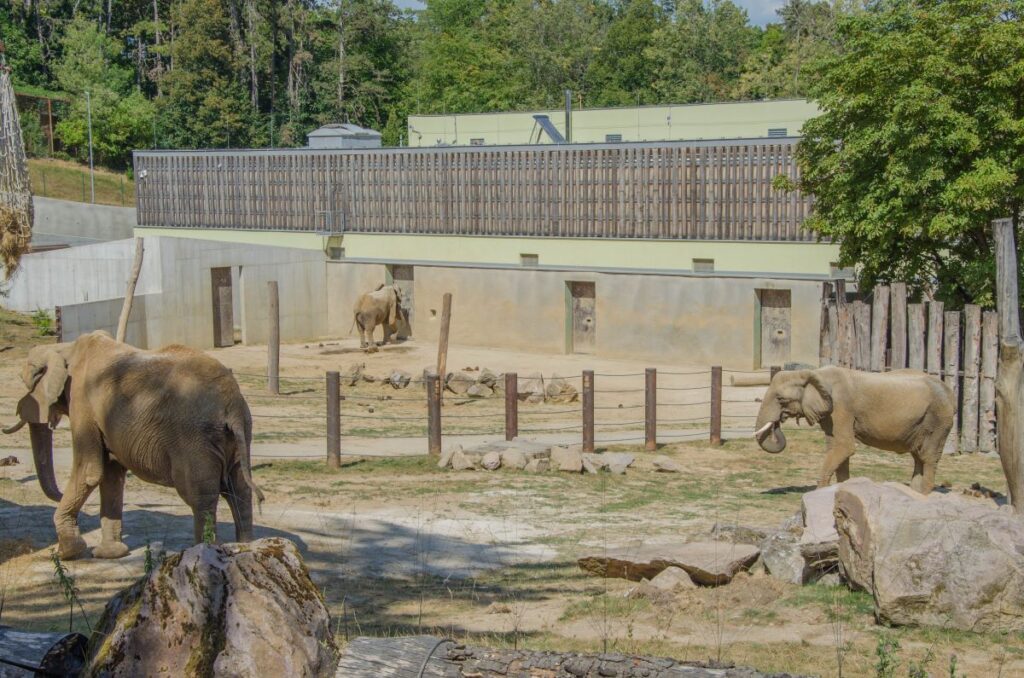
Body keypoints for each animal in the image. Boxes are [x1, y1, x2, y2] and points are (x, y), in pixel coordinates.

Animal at [2, 331, 264, 561]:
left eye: (26, 383)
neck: (65, 348)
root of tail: (231, 404)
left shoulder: (83, 403)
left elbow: (89, 470)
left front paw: (67, 553)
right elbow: (111, 474)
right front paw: (109, 554)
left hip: (194, 438)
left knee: (200, 495)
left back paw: (201, 552)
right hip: (238, 434)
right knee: (239, 489)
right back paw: (246, 548)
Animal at [749, 366, 954, 493]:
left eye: (781, 399)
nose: (778, 421)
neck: (814, 373)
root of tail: (949, 390)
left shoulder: (841, 408)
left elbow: (844, 447)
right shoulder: (831, 414)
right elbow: (837, 449)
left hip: (939, 419)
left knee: (928, 456)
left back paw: (923, 494)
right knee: (918, 456)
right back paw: (914, 493)